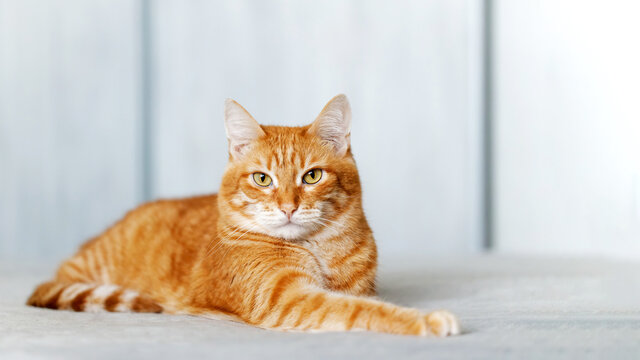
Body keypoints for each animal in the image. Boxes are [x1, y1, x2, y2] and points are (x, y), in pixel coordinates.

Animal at [26, 94, 460, 336]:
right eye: (262, 179)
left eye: (312, 176)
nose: (288, 206)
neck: (319, 249)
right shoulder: (289, 299)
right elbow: (363, 311)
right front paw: (427, 321)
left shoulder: (353, 288)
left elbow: (364, 302)